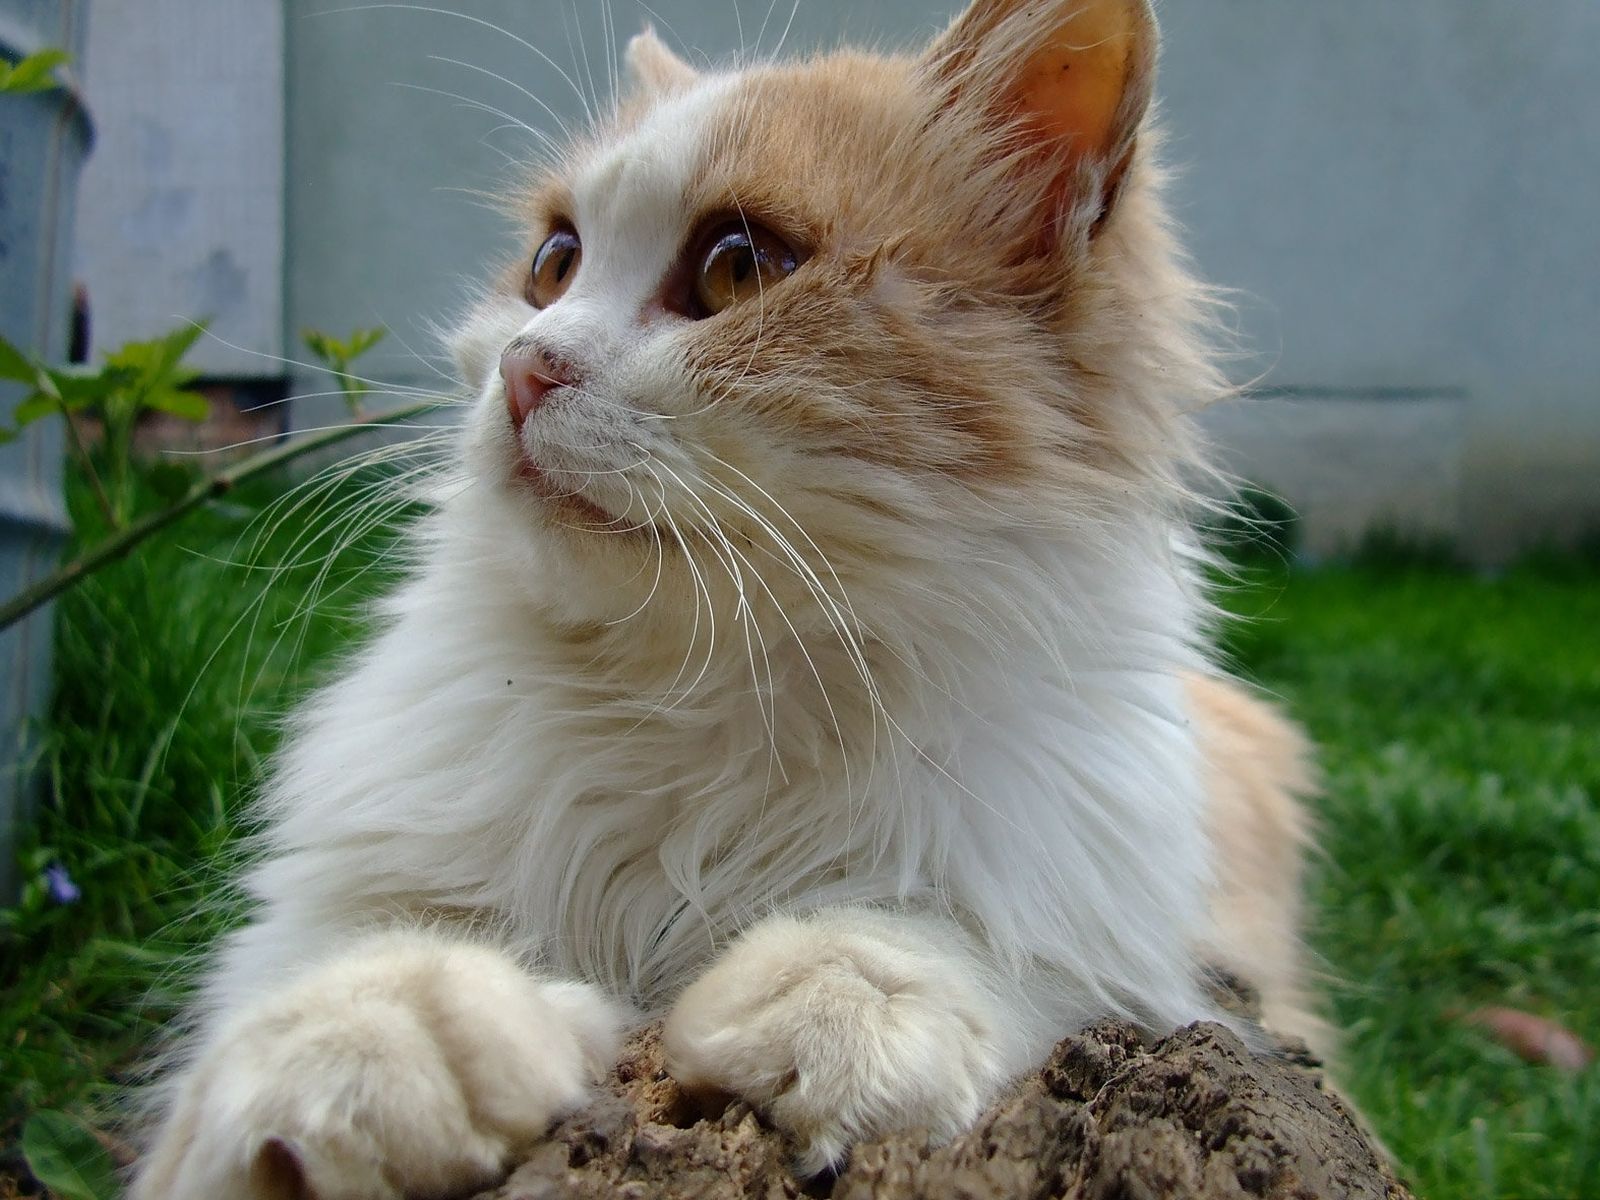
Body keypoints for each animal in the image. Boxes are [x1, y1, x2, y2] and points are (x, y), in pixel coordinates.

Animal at [131, 0, 1318, 1196]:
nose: (524, 366)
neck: (683, 702)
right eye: (553, 263)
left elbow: (929, 936)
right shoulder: (331, 896)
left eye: (737, 270)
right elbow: (348, 972)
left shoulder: (1093, 921)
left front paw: (828, 1013)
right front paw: (376, 1053)